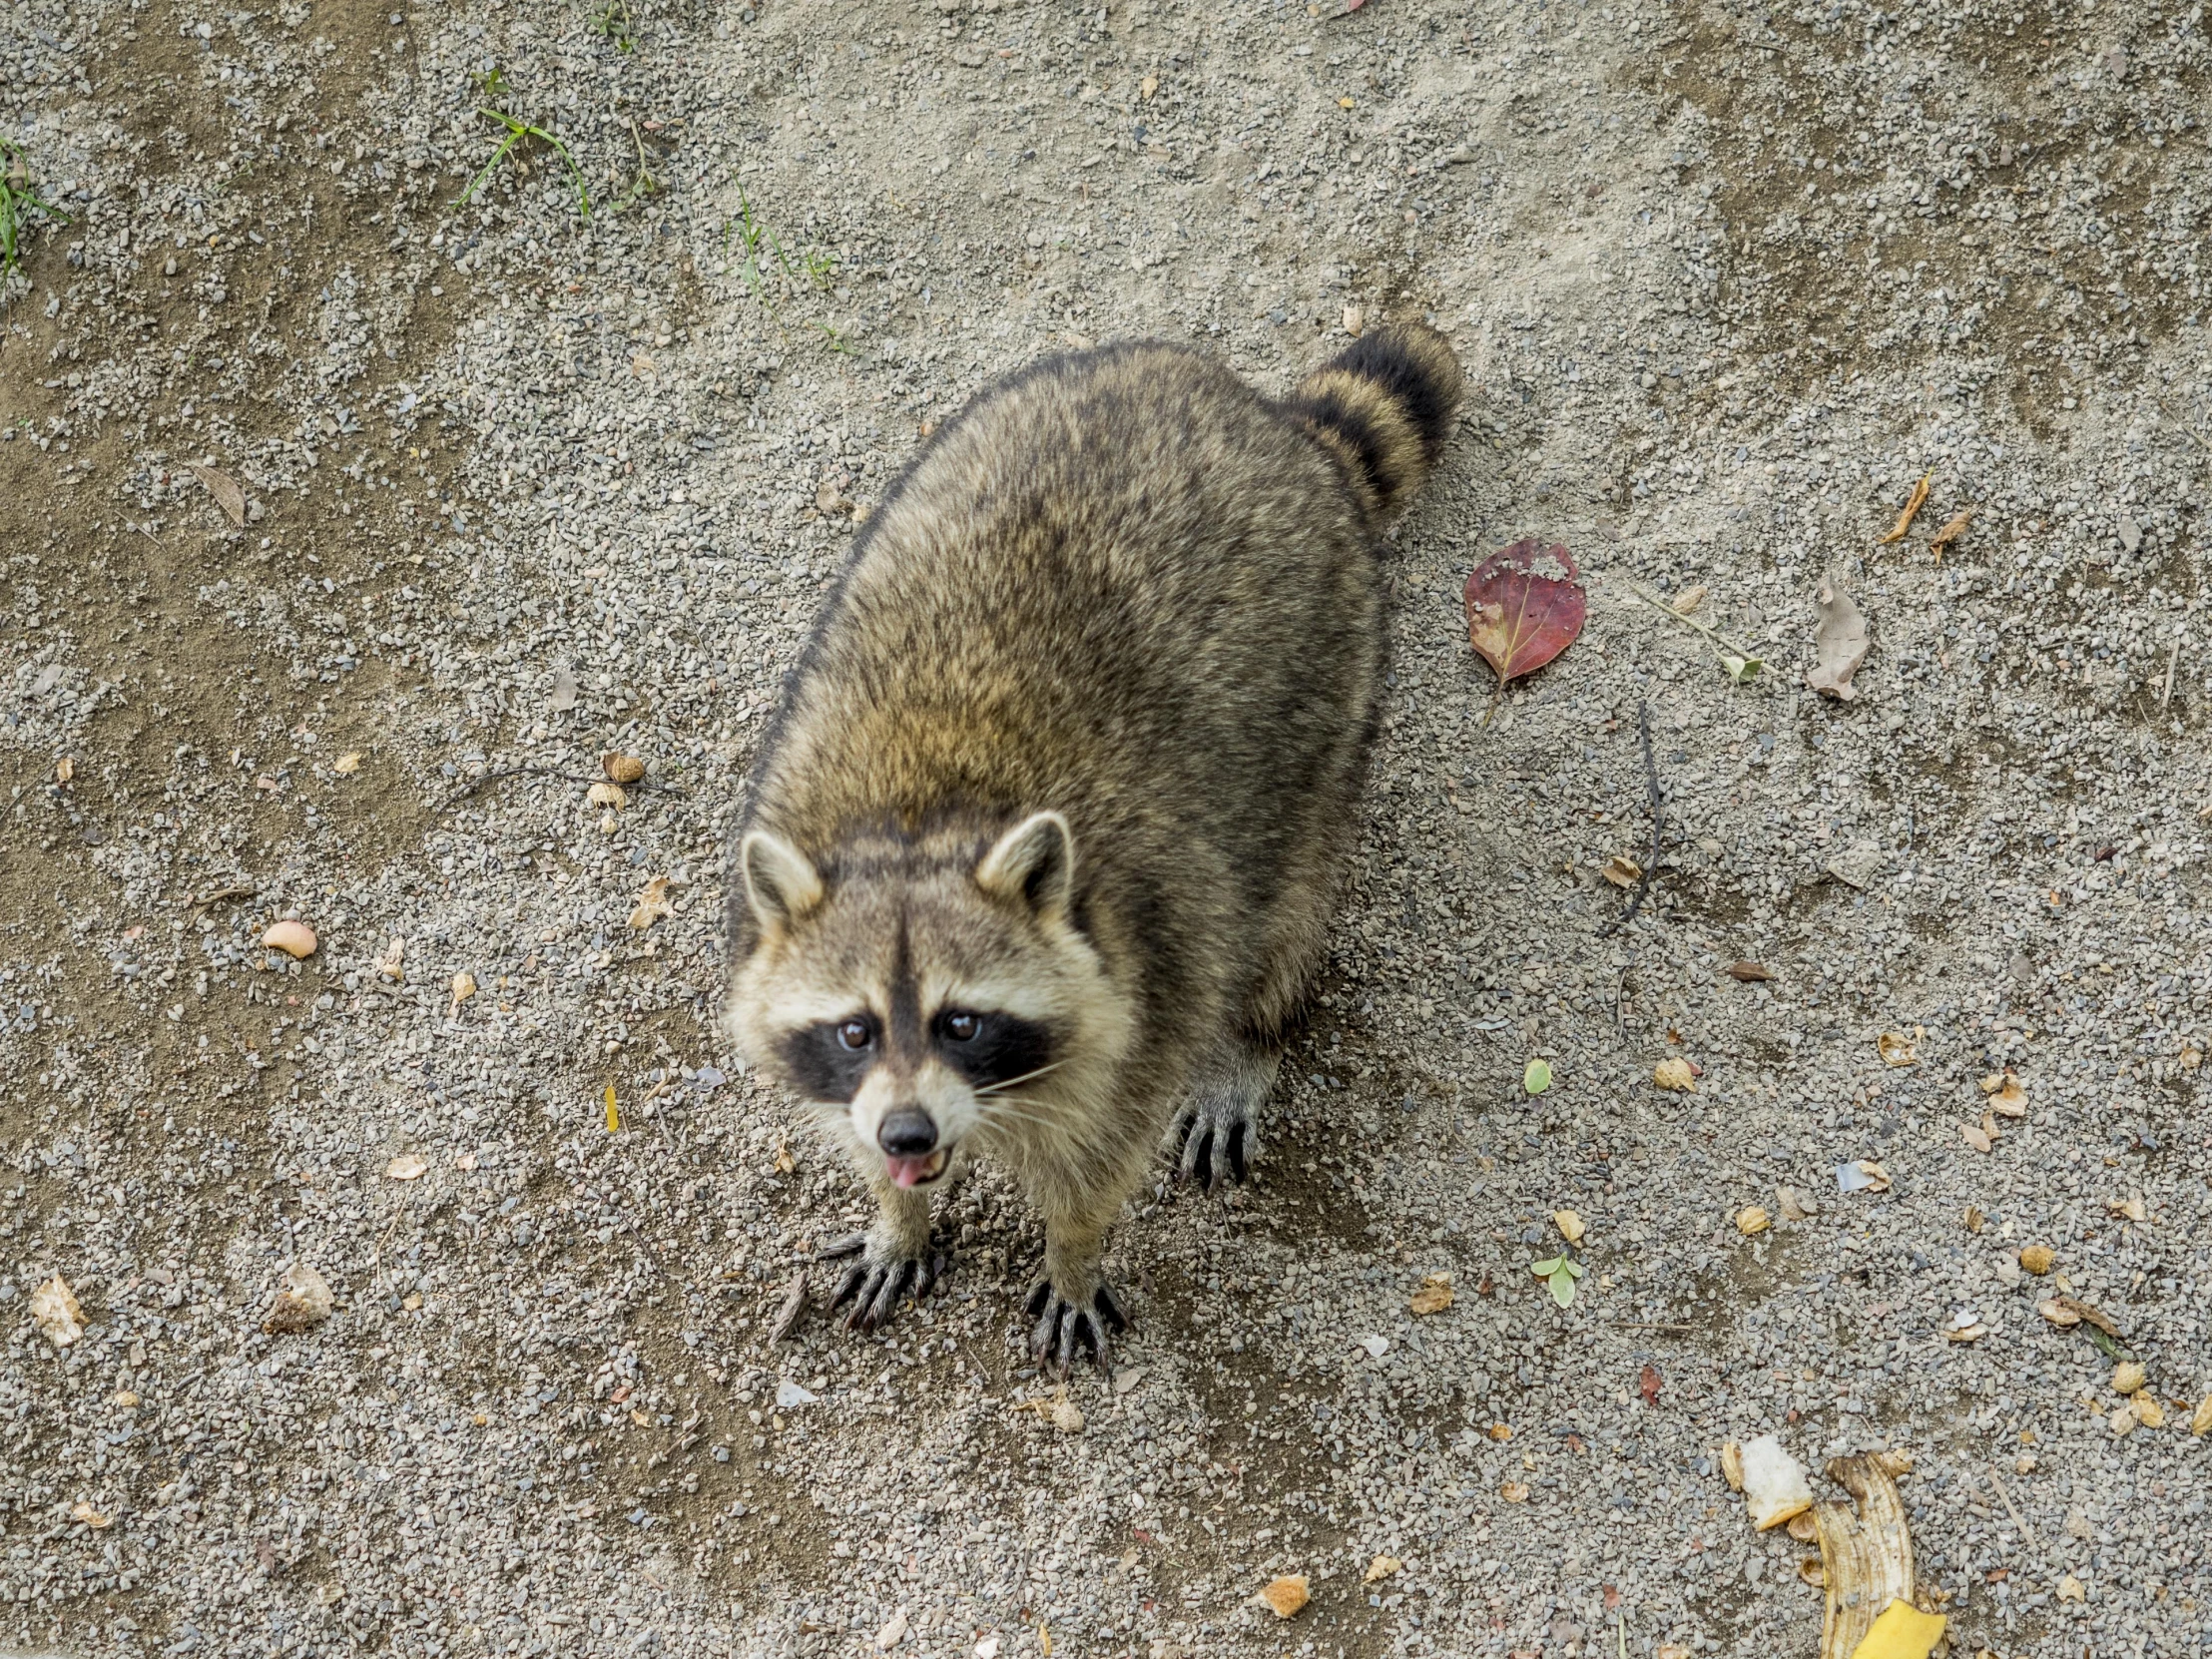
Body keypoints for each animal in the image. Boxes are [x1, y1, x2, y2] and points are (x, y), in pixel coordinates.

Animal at [716, 324, 1459, 1380]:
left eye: (961, 1023)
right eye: (855, 1030)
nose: (909, 1130)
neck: (923, 822)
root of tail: (1269, 419)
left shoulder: (1155, 964)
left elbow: (1101, 1157)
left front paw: (1072, 1250)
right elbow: (851, 1126)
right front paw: (897, 1209)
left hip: (1332, 695)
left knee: (1287, 903)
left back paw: (1253, 1038)